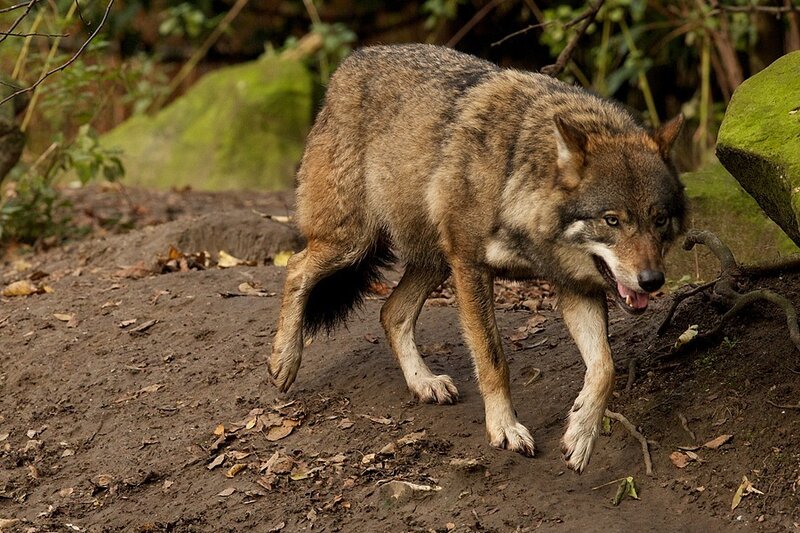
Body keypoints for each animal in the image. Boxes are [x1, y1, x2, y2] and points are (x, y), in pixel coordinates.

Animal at [268, 44, 687, 473]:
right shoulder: (471, 266)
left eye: (660, 220)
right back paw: (284, 361)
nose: (652, 280)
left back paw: (424, 382)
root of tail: (348, 65)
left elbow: (605, 367)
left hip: (434, 260)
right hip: (354, 242)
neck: (515, 174)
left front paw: (581, 434)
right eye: (612, 220)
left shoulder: (573, 286)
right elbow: (492, 358)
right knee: (296, 267)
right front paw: (504, 428)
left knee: (391, 312)